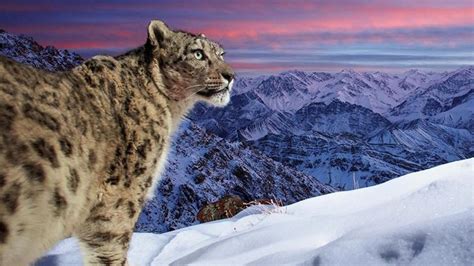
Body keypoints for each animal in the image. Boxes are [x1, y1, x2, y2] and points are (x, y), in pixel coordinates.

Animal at [0, 19, 235, 264]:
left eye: (221, 54)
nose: (230, 76)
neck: (171, 110)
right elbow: (110, 252)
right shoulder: (118, 202)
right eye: (198, 54)